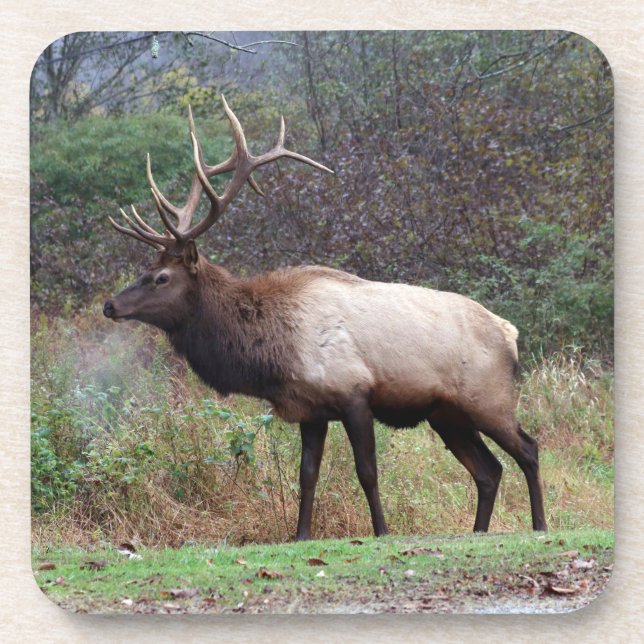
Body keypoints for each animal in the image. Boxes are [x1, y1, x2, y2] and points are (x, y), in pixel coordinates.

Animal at [103, 96, 547, 540]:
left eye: (161, 277)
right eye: (146, 269)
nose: (110, 305)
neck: (272, 353)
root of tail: (510, 333)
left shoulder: (354, 392)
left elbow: (367, 472)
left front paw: (381, 531)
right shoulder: (311, 410)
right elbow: (307, 475)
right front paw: (300, 534)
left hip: (488, 397)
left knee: (528, 448)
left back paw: (540, 524)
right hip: (447, 415)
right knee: (488, 470)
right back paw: (478, 531)